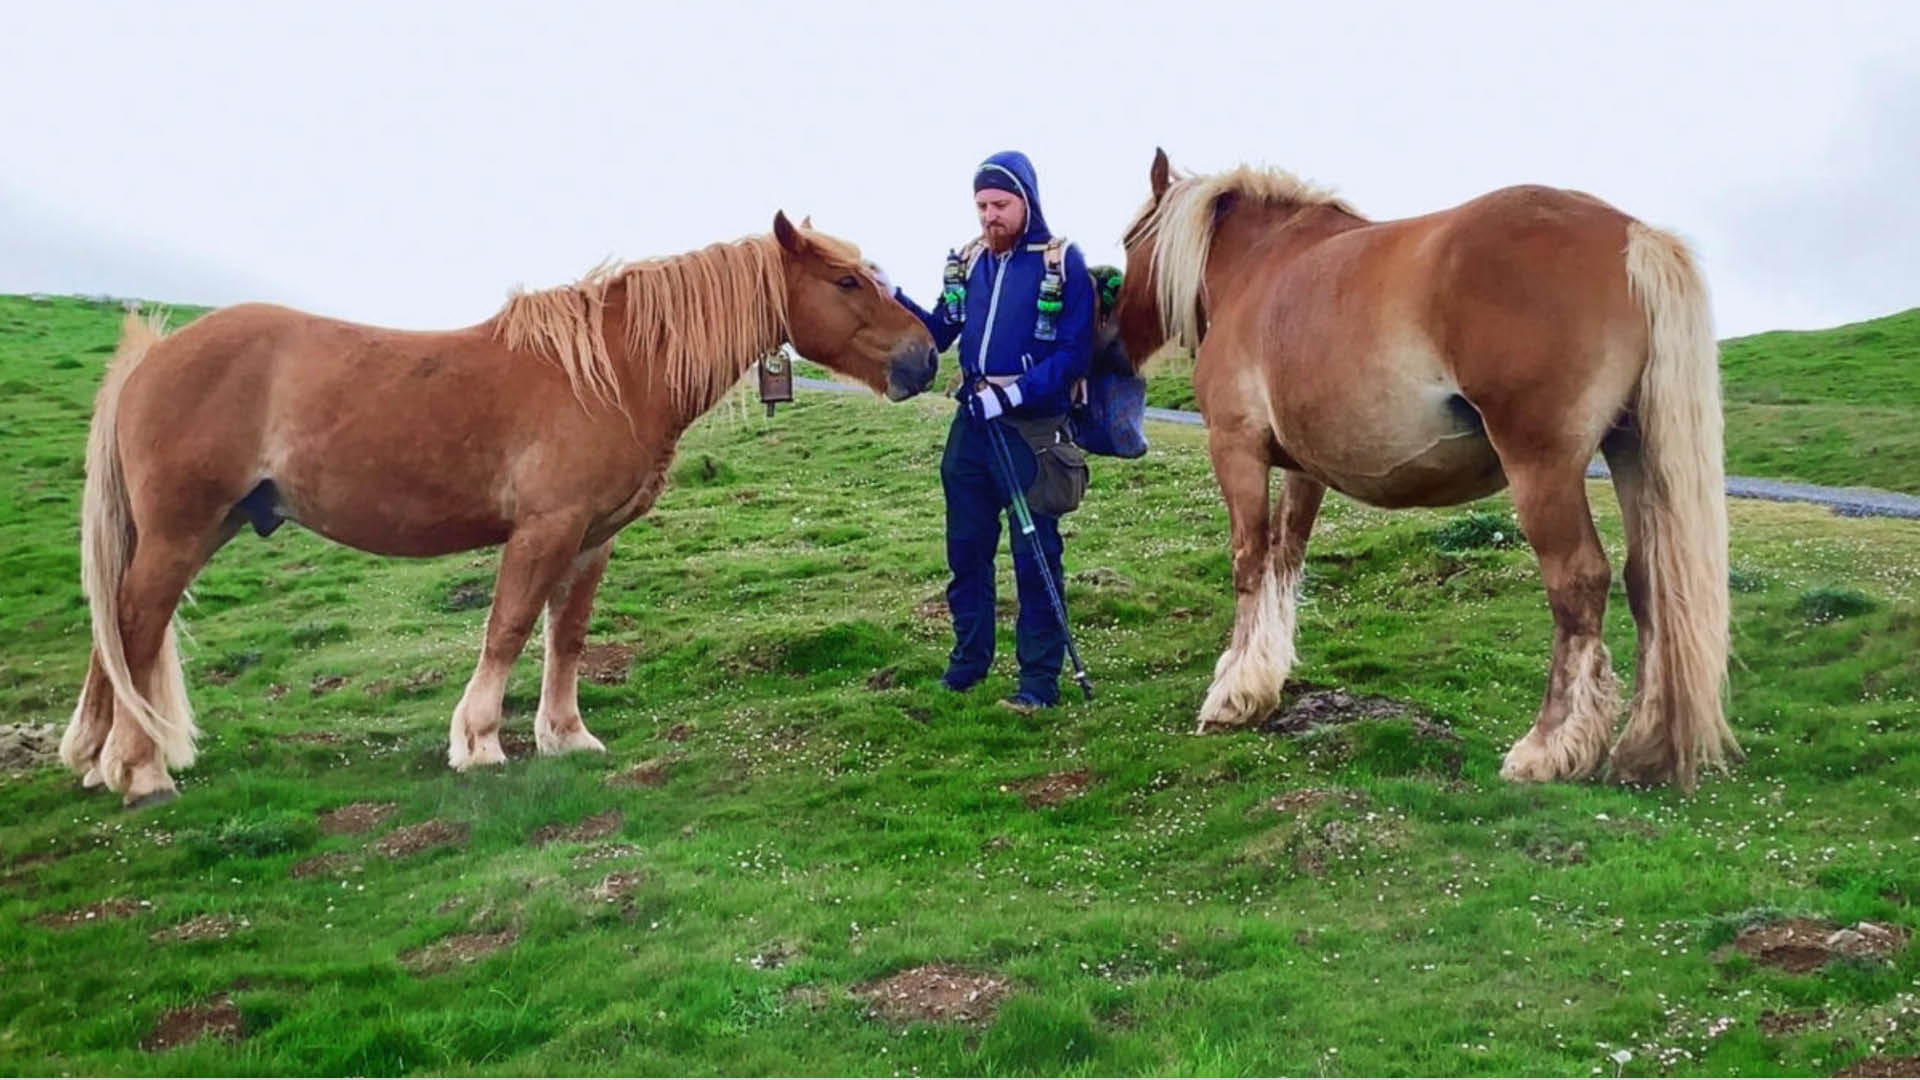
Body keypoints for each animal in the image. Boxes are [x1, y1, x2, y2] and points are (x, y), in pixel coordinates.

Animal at [71, 212, 940, 799]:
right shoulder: (544, 530)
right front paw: (480, 742)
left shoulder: (591, 539)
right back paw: (141, 772)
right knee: (136, 625)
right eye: (847, 281)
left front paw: (566, 736)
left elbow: (567, 636)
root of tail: (154, 357)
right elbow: (510, 627)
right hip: (181, 530)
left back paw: (99, 759)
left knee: (118, 628)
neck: (612, 373)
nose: (926, 357)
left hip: (195, 529)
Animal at [1113, 148, 1743, 791]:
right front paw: (1264, 681)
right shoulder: (1302, 468)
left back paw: (1549, 747)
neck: (1258, 267)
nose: (1108, 338)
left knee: (1579, 582)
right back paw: (1643, 747)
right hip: (1631, 452)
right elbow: (1284, 562)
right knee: (1651, 582)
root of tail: (1630, 232)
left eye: (1129, 241)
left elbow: (1249, 563)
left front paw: (1231, 694)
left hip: (1543, 469)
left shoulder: (1236, 448)